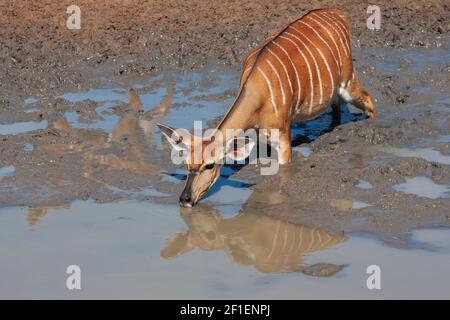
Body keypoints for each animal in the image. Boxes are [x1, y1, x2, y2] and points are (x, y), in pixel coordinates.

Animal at [158, 8, 376, 208]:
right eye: (187, 164)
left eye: (210, 165)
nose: (185, 199)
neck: (257, 91)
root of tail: (338, 14)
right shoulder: (262, 134)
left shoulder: (284, 137)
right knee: (337, 107)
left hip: (348, 83)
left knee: (368, 99)